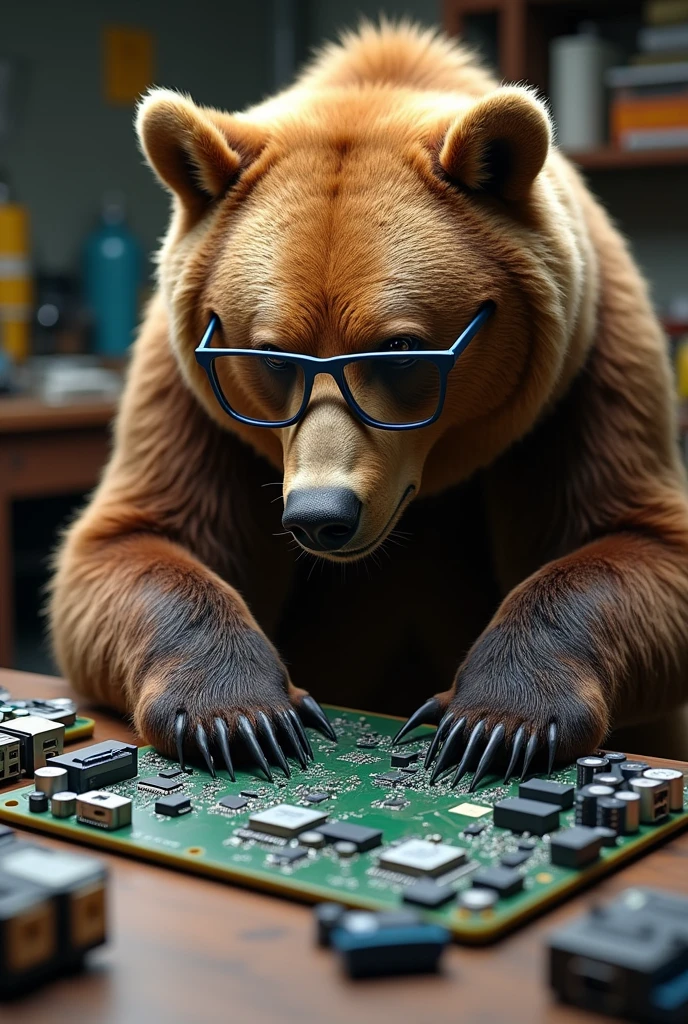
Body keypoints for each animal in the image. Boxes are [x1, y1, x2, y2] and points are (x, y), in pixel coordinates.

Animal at [51, 19, 688, 778]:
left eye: (400, 348)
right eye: (270, 353)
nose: (320, 514)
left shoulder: (586, 378)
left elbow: (635, 538)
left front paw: (491, 720)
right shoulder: (190, 398)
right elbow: (132, 542)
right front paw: (246, 716)